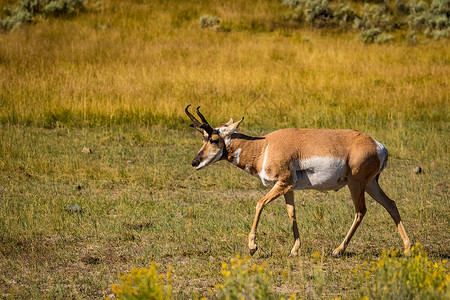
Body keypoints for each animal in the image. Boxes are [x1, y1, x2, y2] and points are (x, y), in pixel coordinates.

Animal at [185, 105, 412, 258]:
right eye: (203, 139)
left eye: (214, 139)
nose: (194, 162)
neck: (265, 146)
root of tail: (378, 145)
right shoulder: (288, 188)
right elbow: (292, 213)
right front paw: (294, 249)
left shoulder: (282, 184)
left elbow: (259, 204)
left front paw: (252, 247)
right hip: (371, 184)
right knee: (391, 204)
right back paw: (408, 248)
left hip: (356, 184)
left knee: (361, 211)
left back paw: (337, 250)